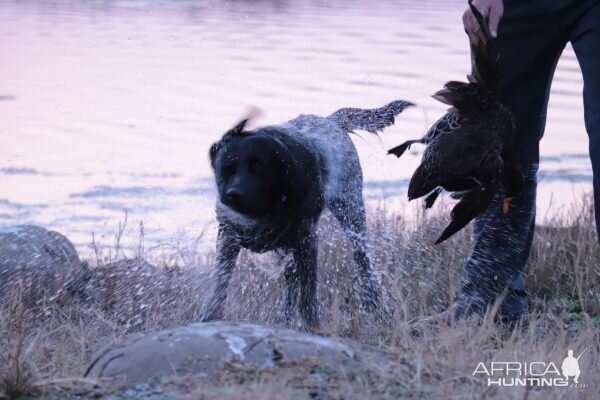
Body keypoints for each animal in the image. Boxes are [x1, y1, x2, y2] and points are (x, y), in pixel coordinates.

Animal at [202, 99, 412, 328]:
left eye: (258, 166)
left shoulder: (307, 241)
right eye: (228, 167)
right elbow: (219, 286)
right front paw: (209, 318)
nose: (234, 194)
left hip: (350, 210)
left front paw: (313, 327)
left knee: (361, 257)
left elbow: (308, 295)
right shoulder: (228, 238)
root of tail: (331, 120)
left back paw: (371, 299)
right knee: (291, 280)